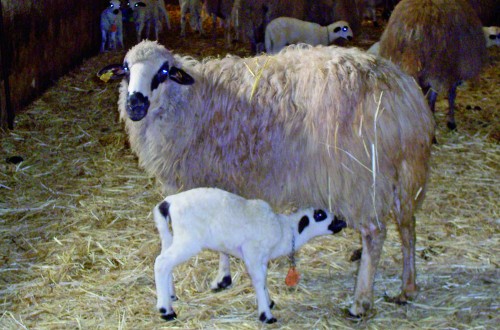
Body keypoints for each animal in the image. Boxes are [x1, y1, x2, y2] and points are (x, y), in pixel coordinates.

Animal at [153, 187, 348, 324]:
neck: (285, 230)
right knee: (161, 263)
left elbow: (264, 279)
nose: (342, 222)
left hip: (173, 237)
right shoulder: (252, 253)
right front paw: (266, 315)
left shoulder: (262, 259)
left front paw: (269, 302)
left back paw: (171, 297)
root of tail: (168, 202)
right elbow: (259, 280)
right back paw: (166, 311)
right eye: (320, 214)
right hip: (189, 240)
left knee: (165, 263)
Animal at [376, 0, 486, 130]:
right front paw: (451, 122)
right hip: (436, 67)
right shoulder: (452, 70)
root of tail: (414, 28)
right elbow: (450, 95)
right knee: (433, 96)